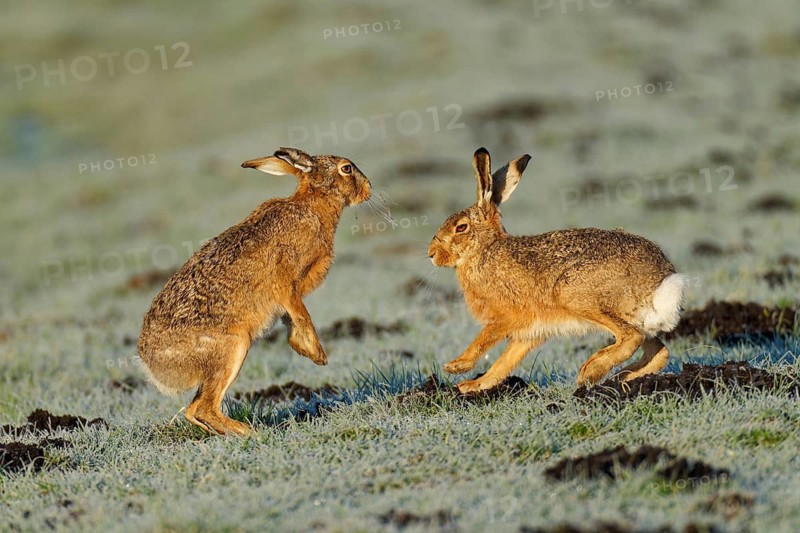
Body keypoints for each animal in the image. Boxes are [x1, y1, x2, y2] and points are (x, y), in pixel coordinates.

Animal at [138, 147, 372, 435]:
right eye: (346, 169)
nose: (368, 188)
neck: (311, 207)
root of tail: (153, 365)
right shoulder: (285, 281)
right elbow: (301, 313)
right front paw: (318, 354)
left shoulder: (287, 297)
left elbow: (291, 316)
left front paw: (302, 349)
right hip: (233, 347)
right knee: (205, 407)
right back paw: (252, 433)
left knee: (194, 410)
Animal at [428, 147, 688, 394]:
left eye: (461, 227)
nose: (431, 253)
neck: (485, 250)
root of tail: (661, 282)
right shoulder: (529, 332)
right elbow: (504, 363)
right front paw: (473, 386)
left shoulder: (507, 316)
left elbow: (484, 340)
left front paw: (455, 366)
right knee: (659, 351)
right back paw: (621, 377)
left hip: (572, 293)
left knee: (631, 337)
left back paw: (590, 372)